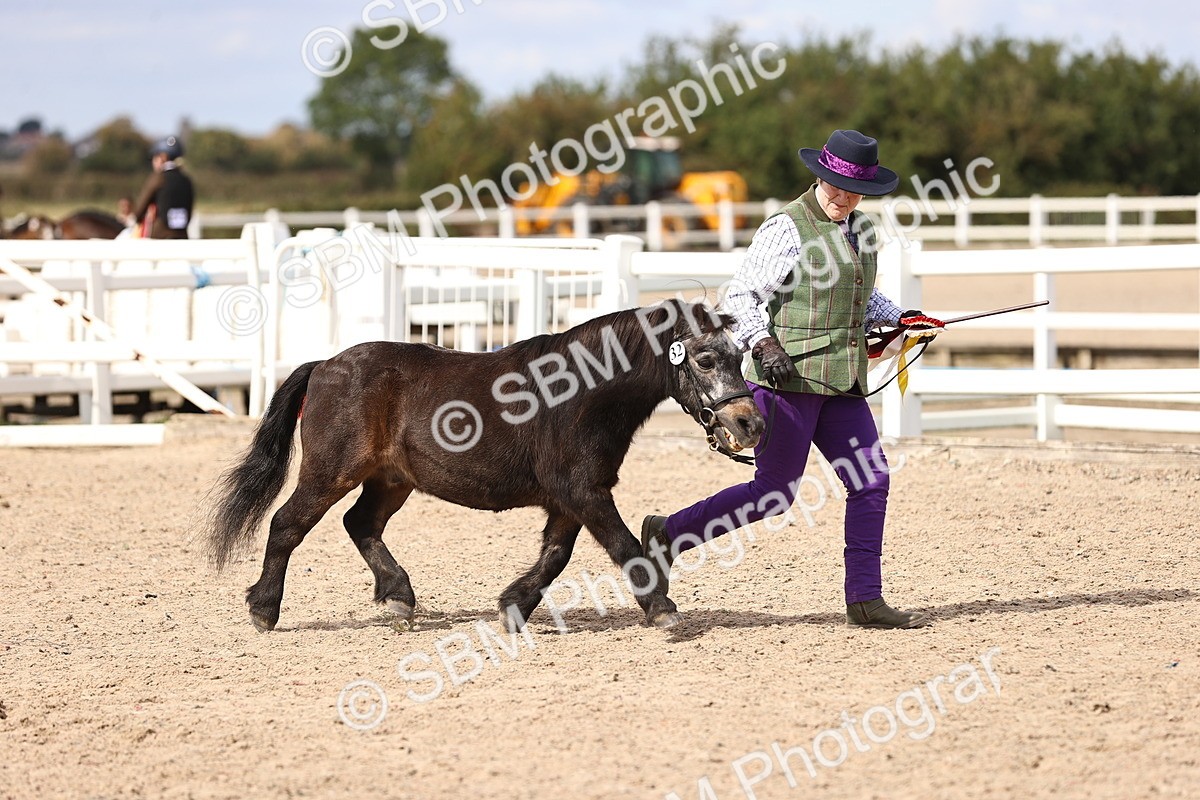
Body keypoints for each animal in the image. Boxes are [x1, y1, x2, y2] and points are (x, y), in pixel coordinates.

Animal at [206, 300, 765, 633]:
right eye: (706, 360)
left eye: (739, 356)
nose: (750, 422)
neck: (582, 394)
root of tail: (323, 366)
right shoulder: (583, 491)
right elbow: (624, 546)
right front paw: (662, 608)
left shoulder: (571, 497)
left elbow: (555, 556)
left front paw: (513, 605)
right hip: (330, 472)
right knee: (287, 524)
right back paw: (263, 609)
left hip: (390, 480)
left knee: (359, 523)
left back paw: (398, 597)